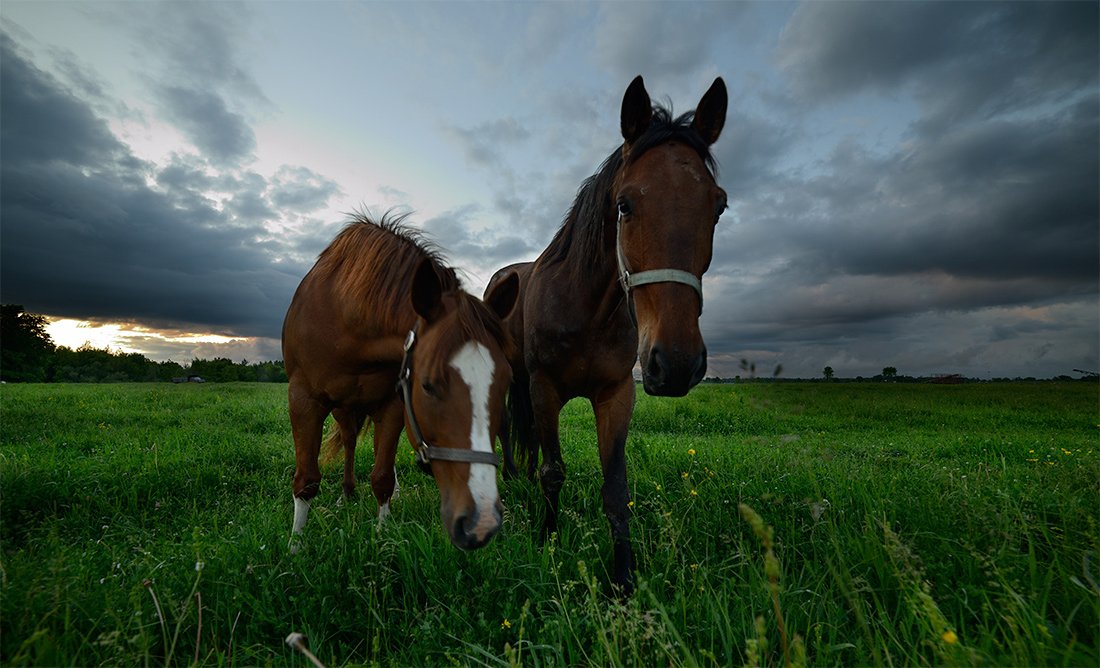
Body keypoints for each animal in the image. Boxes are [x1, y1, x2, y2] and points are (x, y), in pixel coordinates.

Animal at [283, 213, 519, 551]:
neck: (348, 317)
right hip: (342, 409)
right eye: (428, 385)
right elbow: (306, 480)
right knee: (350, 442)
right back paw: (346, 493)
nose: (481, 522)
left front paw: (383, 536)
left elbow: (382, 476)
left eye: (504, 383)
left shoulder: (394, 404)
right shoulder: (304, 399)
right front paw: (295, 547)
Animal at [487, 76, 727, 593]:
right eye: (624, 204)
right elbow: (554, 471)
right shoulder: (545, 388)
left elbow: (616, 489)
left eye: (718, 206)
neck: (586, 308)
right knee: (505, 429)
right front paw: (547, 539)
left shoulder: (616, 394)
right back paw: (512, 477)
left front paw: (624, 577)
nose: (676, 363)